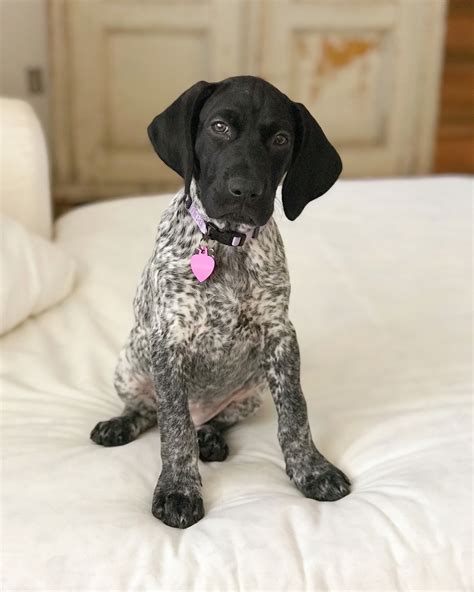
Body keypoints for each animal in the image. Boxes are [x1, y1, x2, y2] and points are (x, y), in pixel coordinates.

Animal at [91, 75, 352, 528]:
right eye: (219, 127)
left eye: (281, 139)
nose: (245, 191)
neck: (225, 243)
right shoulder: (169, 340)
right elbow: (175, 428)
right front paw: (178, 489)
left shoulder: (280, 336)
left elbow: (295, 413)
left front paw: (311, 470)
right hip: (128, 364)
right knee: (150, 411)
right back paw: (121, 425)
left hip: (251, 391)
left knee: (214, 420)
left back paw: (210, 436)